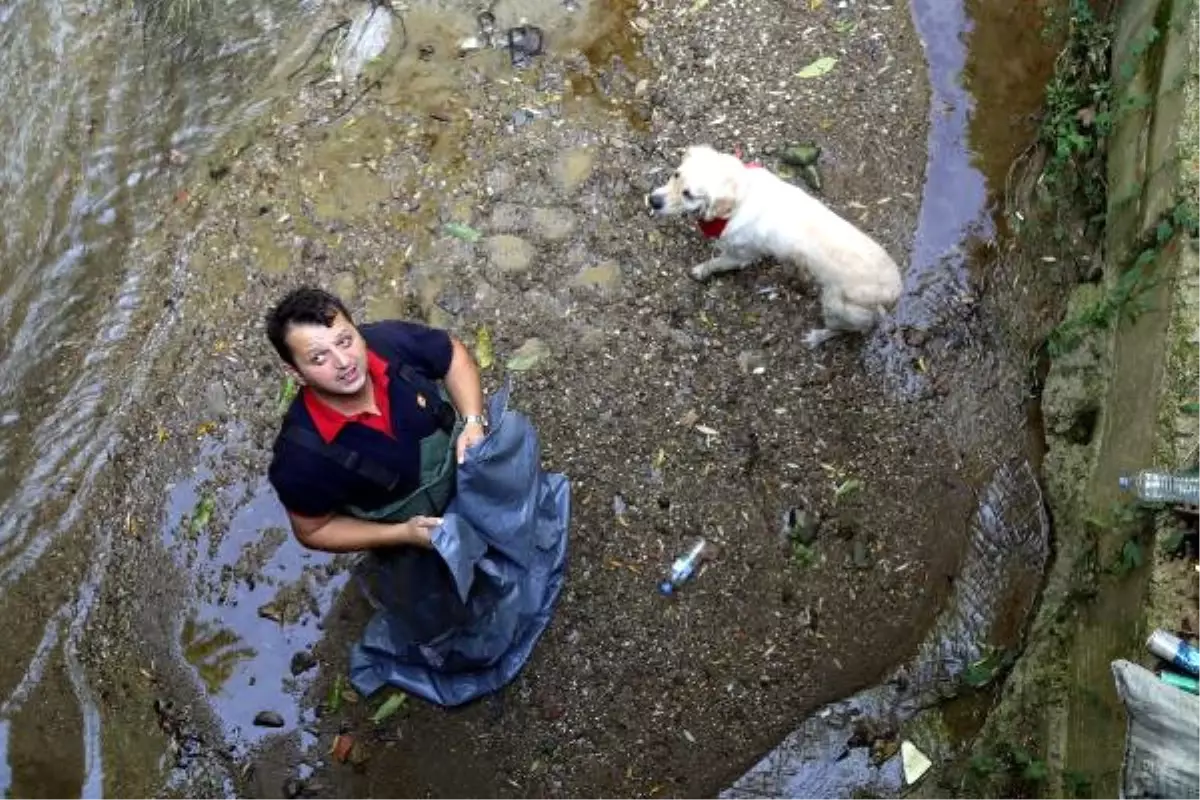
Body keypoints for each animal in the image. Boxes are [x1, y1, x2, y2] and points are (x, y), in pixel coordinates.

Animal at [648, 145, 902, 345]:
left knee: (849, 329)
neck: (742, 195)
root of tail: (895, 292)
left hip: (836, 307)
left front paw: (701, 270)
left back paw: (817, 336)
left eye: (689, 194)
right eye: (675, 174)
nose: (653, 200)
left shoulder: (740, 256)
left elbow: (716, 262)